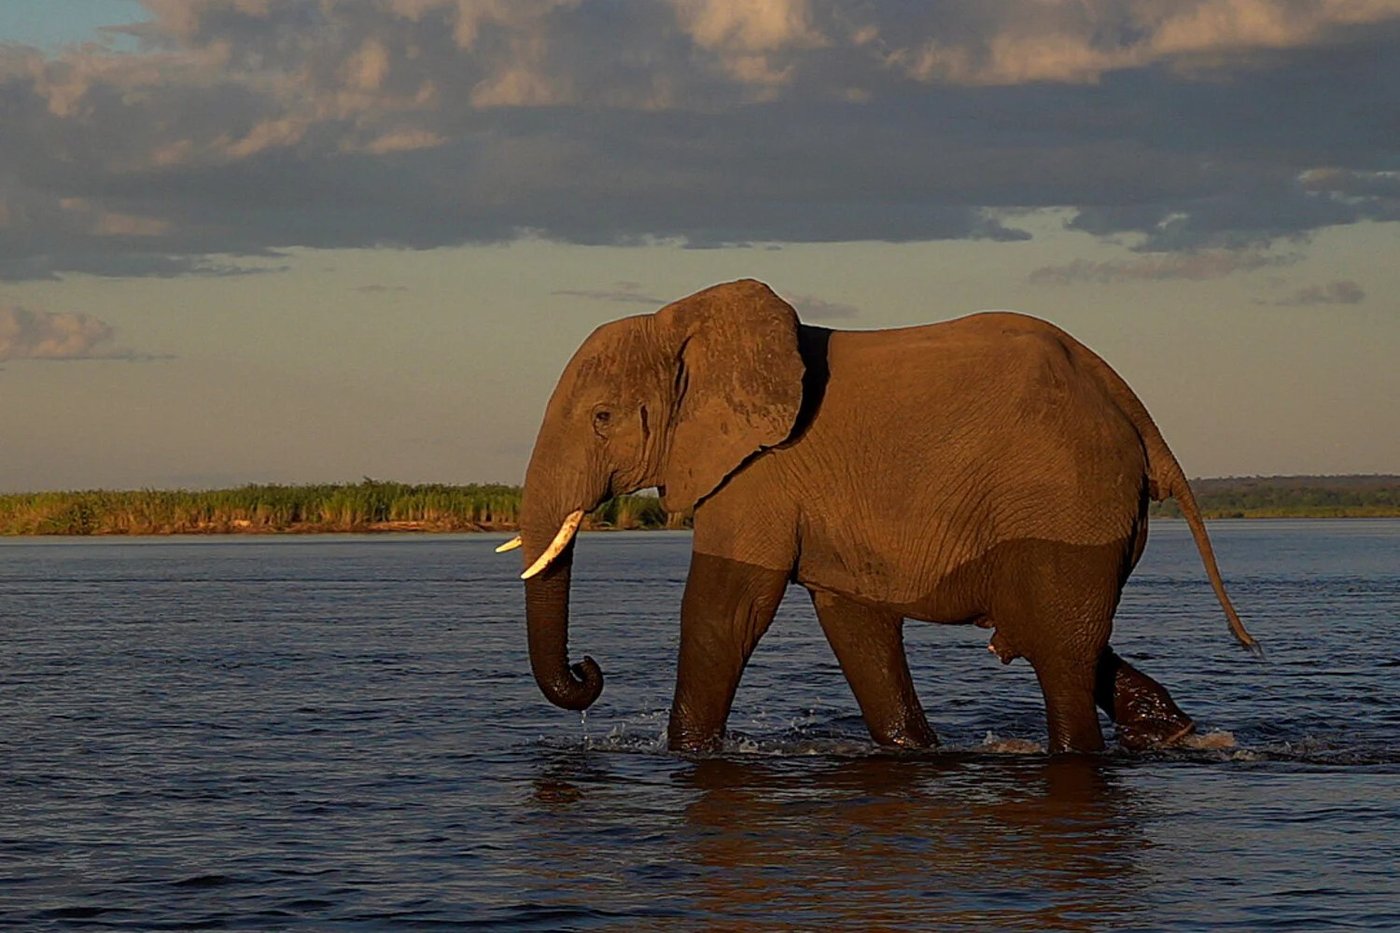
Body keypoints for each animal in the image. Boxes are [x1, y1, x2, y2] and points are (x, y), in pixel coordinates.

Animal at [504, 279, 1257, 754]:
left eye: (602, 418)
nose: (589, 667)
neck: (684, 320)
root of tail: (1132, 406)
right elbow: (854, 622)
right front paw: (912, 749)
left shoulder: (758, 471)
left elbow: (726, 607)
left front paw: (685, 754)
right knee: (1067, 635)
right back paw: (1177, 734)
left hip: (1068, 495)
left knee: (1062, 656)